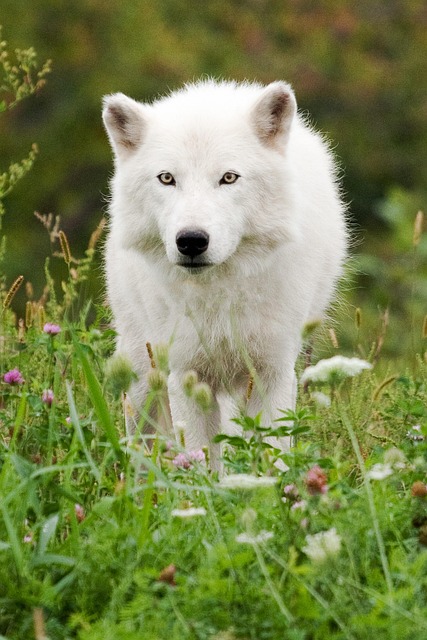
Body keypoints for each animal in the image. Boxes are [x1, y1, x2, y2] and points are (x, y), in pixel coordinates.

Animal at [102, 79, 347, 468]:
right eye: (167, 178)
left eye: (228, 178)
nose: (191, 240)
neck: (220, 297)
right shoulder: (185, 376)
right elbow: (200, 462)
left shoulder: (273, 373)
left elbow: (273, 458)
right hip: (144, 376)